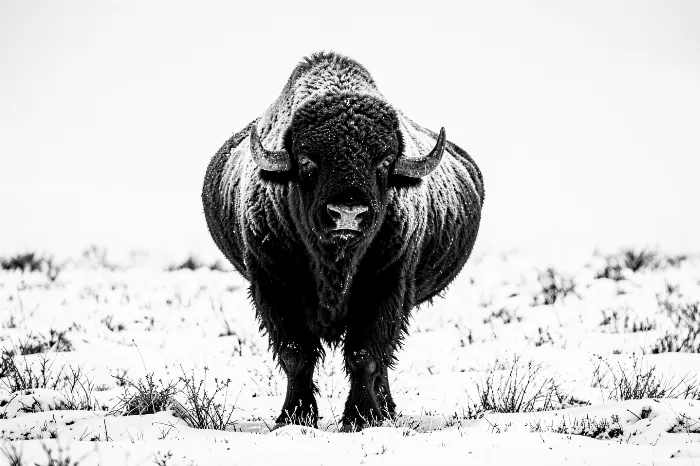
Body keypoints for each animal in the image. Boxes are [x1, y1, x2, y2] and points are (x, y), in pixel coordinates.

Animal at [202, 51, 484, 430]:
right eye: (307, 161)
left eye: (383, 162)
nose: (348, 213)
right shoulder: (273, 286)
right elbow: (296, 355)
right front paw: (294, 416)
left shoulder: (386, 288)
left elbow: (364, 355)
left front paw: (360, 418)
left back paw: (386, 410)